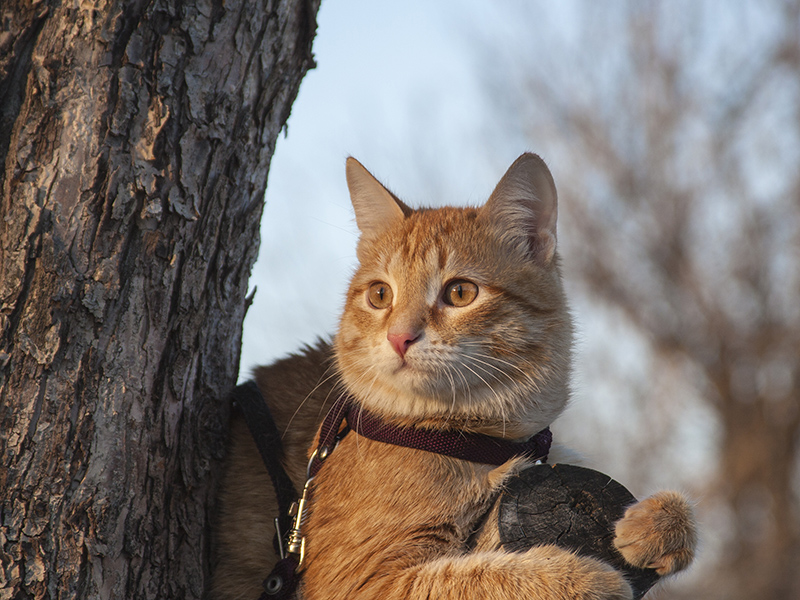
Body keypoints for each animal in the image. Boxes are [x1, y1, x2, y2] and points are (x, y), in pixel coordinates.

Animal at [212, 156, 692, 600]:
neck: (474, 439)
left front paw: (658, 524)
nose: (399, 337)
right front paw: (579, 577)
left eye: (460, 292)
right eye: (380, 295)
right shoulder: (359, 581)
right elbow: (474, 578)